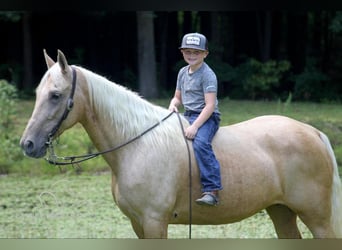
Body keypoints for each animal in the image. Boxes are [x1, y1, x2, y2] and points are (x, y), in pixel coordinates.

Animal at [20, 48, 342, 238]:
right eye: (38, 93)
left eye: (56, 95)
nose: (28, 145)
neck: (137, 146)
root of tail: (314, 133)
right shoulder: (138, 224)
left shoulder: (154, 221)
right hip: (281, 211)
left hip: (318, 219)